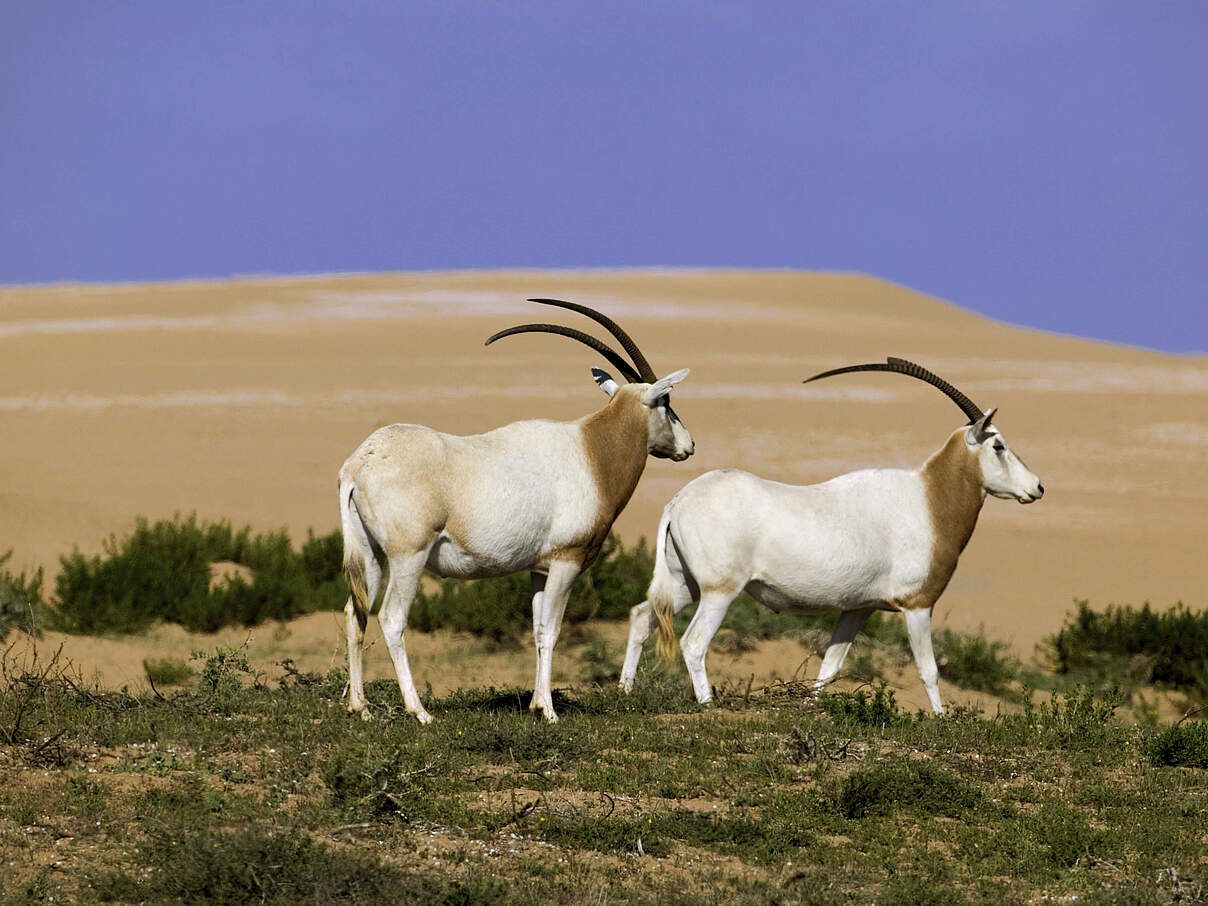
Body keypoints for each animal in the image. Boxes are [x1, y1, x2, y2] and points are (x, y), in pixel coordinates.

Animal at [340, 302, 700, 729]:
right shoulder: (567, 561)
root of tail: (361, 461)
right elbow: (554, 631)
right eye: (666, 403)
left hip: (371, 555)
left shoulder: (538, 570)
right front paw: (551, 712)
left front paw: (536, 704)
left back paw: (360, 707)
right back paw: (420, 711)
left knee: (355, 612)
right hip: (407, 557)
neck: (593, 451)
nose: (689, 446)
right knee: (392, 619)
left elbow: (539, 629)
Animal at [618, 357, 1043, 715]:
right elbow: (929, 669)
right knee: (693, 643)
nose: (1037, 487)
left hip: (684, 584)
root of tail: (678, 501)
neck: (929, 498)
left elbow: (830, 665)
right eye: (999, 445)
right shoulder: (918, 606)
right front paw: (940, 720)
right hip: (719, 592)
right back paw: (707, 704)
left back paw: (624, 691)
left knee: (641, 617)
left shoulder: (858, 608)